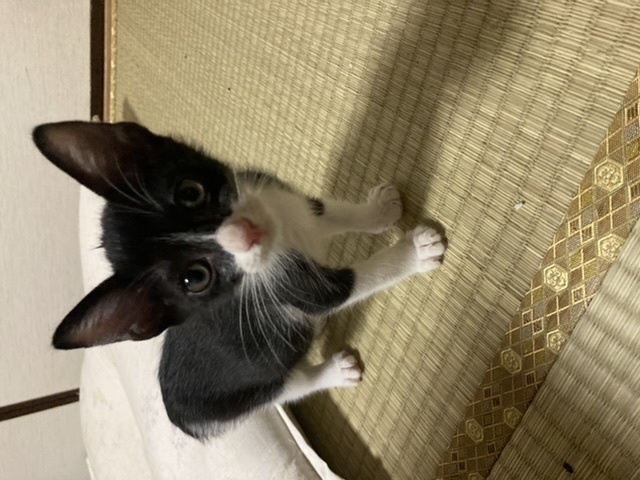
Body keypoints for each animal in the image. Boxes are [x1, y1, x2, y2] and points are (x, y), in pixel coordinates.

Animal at [33, 121, 446, 439]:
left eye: (190, 192)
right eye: (195, 278)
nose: (244, 234)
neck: (283, 232)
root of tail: (180, 417)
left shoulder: (284, 199)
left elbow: (327, 212)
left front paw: (379, 211)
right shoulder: (293, 288)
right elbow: (348, 286)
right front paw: (416, 252)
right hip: (248, 394)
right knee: (288, 387)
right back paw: (335, 371)